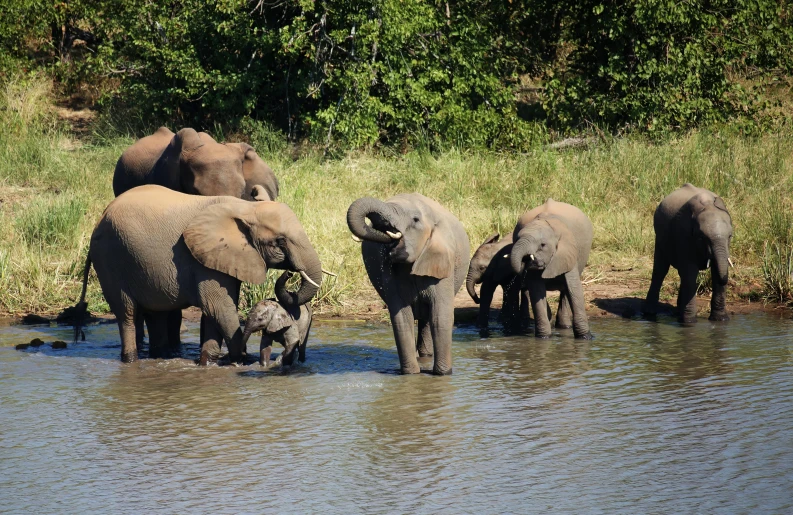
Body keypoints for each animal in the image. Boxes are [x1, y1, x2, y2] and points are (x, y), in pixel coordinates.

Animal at [74, 184, 322, 362]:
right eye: (280, 241)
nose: (290, 274)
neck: (246, 208)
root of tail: (100, 217)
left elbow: (213, 311)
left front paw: (210, 362)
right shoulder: (205, 257)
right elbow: (219, 307)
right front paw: (242, 360)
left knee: (155, 313)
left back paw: (161, 357)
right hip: (110, 259)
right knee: (126, 312)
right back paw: (132, 360)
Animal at [346, 194, 470, 374]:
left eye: (415, 220)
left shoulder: (444, 264)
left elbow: (440, 316)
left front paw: (443, 374)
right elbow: (402, 319)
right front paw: (411, 374)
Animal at [510, 200, 592, 340]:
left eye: (542, 245)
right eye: (516, 239)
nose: (525, 260)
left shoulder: (568, 252)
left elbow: (574, 289)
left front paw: (586, 338)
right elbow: (537, 291)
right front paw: (543, 338)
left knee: (565, 291)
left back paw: (564, 327)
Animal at [640, 184, 732, 322]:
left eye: (730, 236)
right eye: (701, 238)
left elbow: (717, 273)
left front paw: (720, 320)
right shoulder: (683, 233)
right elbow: (690, 273)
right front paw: (689, 322)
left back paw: (679, 311)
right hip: (660, 237)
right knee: (660, 271)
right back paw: (649, 313)